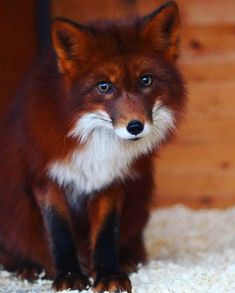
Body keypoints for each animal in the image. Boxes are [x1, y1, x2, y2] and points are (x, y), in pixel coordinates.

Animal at [0, 1, 185, 290]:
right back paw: (27, 268)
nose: (135, 126)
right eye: (104, 86)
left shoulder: (109, 181)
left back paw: (128, 261)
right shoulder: (46, 179)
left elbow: (106, 234)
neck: (95, 149)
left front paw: (109, 275)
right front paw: (69, 277)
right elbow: (59, 235)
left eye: (145, 80)